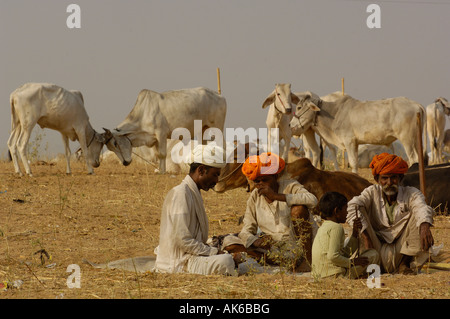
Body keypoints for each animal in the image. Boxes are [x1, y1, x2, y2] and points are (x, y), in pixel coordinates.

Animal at [290, 91, 428, 174]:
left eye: (299, 107)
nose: (290, 125)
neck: (335, 113)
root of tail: (416, 105)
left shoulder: (349, 141)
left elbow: (353, 162)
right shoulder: (355, 143)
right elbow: (354, 163)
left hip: (407, 139)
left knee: (413, 159)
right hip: (416, 140)